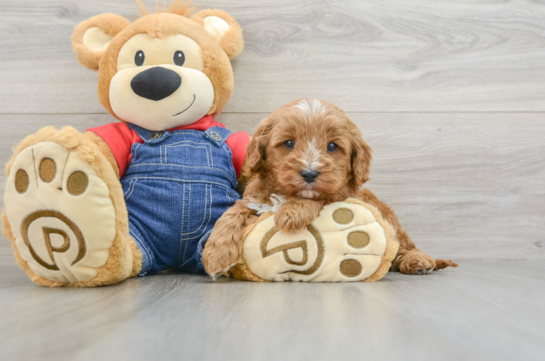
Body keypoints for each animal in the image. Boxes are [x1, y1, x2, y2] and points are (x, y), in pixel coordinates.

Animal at [202, 100, 456, 278]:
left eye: (332, 146)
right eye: (289, 143)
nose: (309, 173)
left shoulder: (342, 195)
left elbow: (320, 197)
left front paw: (292, 212)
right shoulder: (254, 199)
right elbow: (231, 214)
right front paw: (215, 255)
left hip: (388, 217)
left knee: (403, 245)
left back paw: (417, 261)